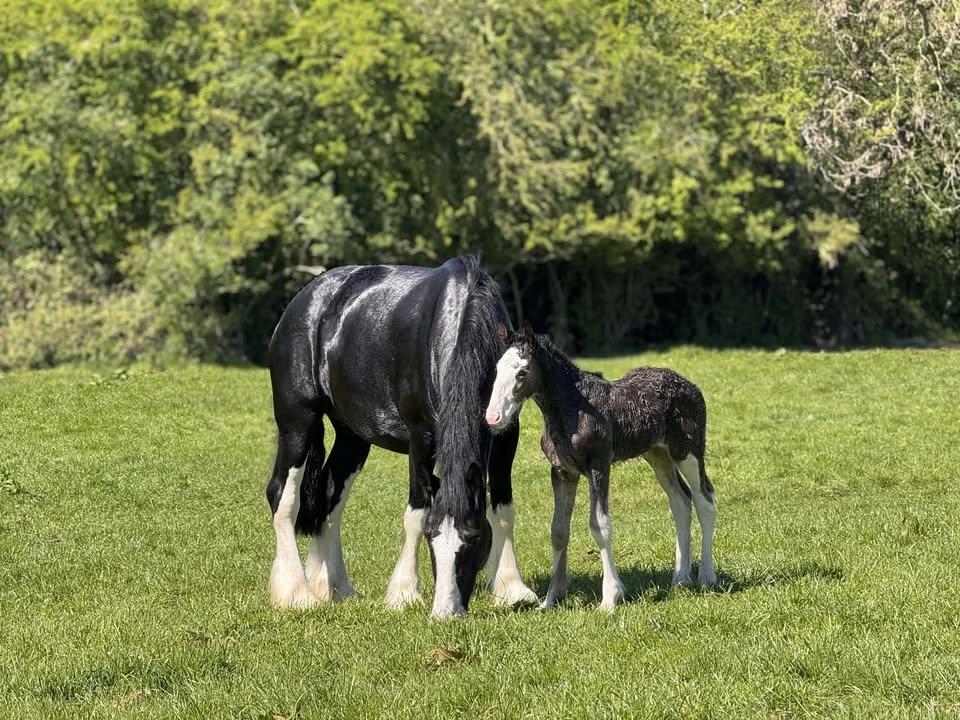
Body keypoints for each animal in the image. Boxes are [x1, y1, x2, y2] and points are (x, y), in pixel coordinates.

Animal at [266, 257, 538, 618]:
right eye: (432, 538)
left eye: (474, 537)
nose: (446, 612)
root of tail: (307, 297)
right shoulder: (420, 438)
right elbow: (416, 511)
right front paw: (404, 592)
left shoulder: (507, 435)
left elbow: (503, 509)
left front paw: (512, 589)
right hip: (297, 422)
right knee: (283, 496)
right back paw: (297, 593)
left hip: (352, 437)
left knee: (330, 498)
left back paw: (335, 588)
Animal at [484, 325, 716, 610]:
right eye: (497, 369)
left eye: (522, 372)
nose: (493, 417)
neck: (572, 409)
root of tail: (692, 387)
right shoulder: (562, 471)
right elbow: (558, 531)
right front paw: (550, 600)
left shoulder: (599, 466)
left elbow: (599, 526)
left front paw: (610, 598)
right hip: (657, 455)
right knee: (681, 502)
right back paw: (681, 578)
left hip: (687, 452)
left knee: (704, 500)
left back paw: (707, 576)